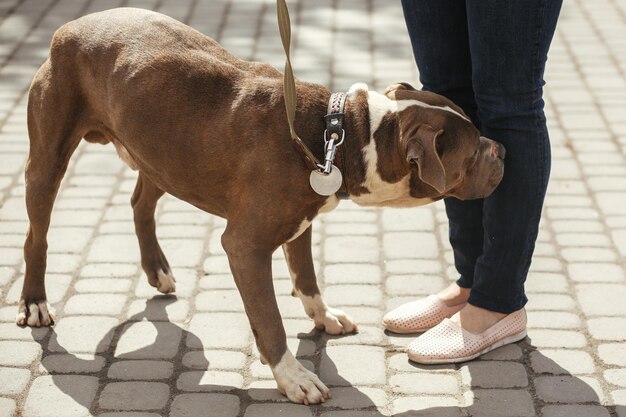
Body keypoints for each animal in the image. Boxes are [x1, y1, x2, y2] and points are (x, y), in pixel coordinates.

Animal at [17, 7, 504, 404]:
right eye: (472, 153)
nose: (500, 149)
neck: (344, 133)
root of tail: (71, 26)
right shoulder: (246, 246)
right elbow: (269, 319)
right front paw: (293, 378)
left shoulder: (303, 221)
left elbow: (307, 279)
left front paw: (323, 316)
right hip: (50, 158)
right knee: (36, 236)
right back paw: (36, 302)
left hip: (162, 153)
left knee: (140, 202)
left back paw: (157, 268)